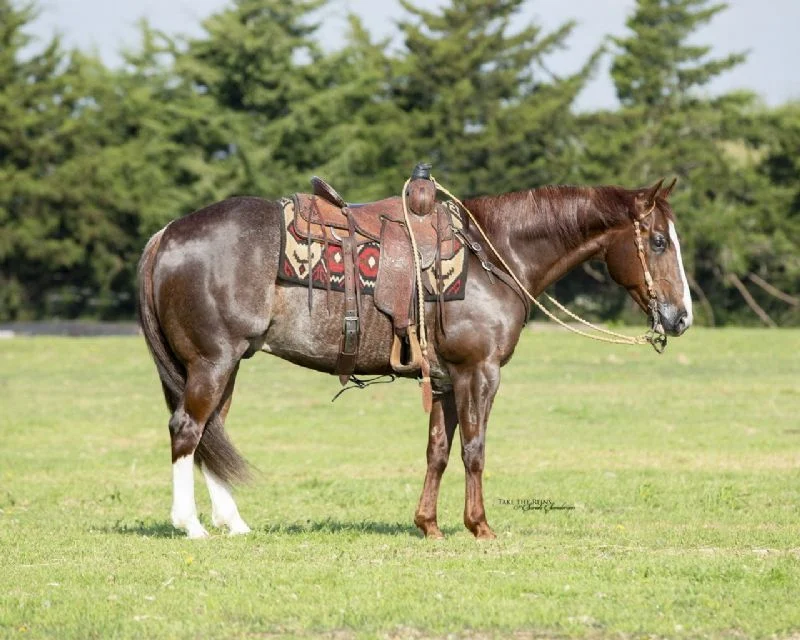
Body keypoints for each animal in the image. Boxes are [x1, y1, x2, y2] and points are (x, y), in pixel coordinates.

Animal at [136, 177, 692, 539]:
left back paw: (233, 523)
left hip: (226, 366)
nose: (681, 316)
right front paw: (479, 526)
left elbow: (438, 451)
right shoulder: (478, 373)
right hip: (212, 362)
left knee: (211, 436)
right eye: (657, 242)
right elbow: (474, 449)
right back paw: (190, 525)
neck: (494, 255)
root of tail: (168, 233)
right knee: (188, 430)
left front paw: (429, 526)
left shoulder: (445, 379)